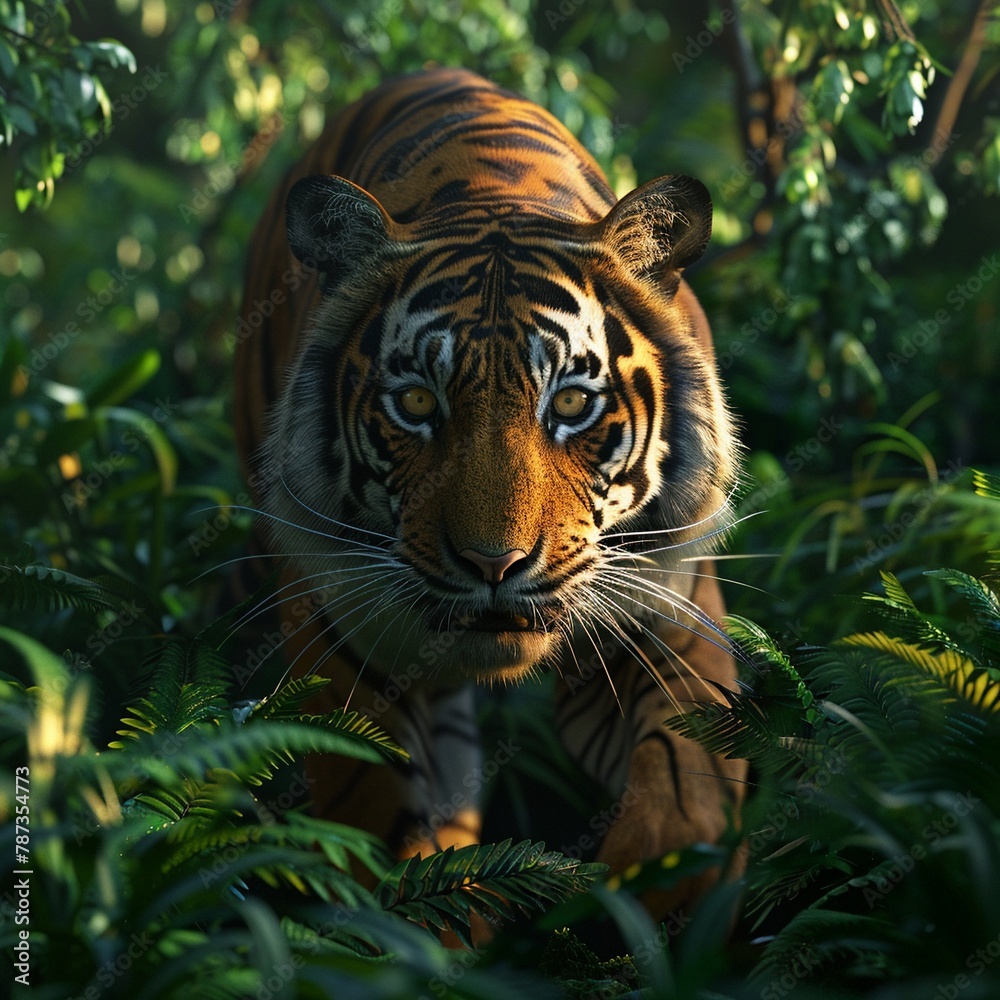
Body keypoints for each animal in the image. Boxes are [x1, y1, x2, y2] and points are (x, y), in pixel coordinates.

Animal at [234, 66, 747, 917]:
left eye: (571, 403)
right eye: (416, 403)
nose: (494, 565)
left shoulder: (667, 617)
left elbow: (687, 799)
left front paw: (623, 903)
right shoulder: (346, 658)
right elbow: (388, 851)